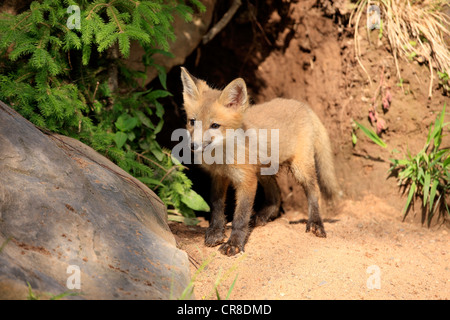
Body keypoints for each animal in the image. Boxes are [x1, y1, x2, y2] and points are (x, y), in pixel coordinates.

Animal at [181, 68, 340, 258]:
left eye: (214, 125)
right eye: (192, 122)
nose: (193, 146)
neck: (222, 158)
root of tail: (302, 105)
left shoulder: (247, 181)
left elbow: (240, 216)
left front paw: (234, 243)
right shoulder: (219, 177)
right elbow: (217, 206)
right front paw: (216, 232)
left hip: (299, 168)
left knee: (314, 191)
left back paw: (316, 222)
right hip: (263, 170)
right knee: (276, 195)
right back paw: (261, 217)